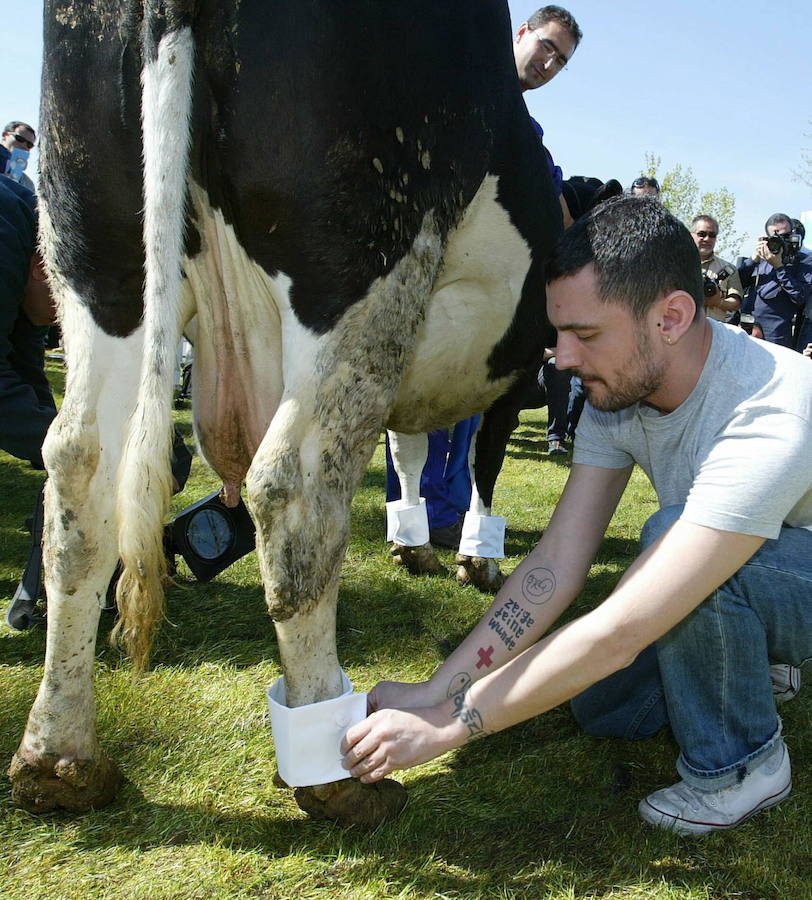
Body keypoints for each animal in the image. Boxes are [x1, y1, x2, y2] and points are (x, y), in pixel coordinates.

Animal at [7, 1, 560, 828]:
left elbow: (410, 453)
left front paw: (415, 546)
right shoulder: (513, 369)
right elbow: (474, 463)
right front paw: (476, 559)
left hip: (95, 246)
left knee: (79, 473)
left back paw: (59, 759)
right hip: (363, 254)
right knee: (294, 490)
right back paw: (335, 769)